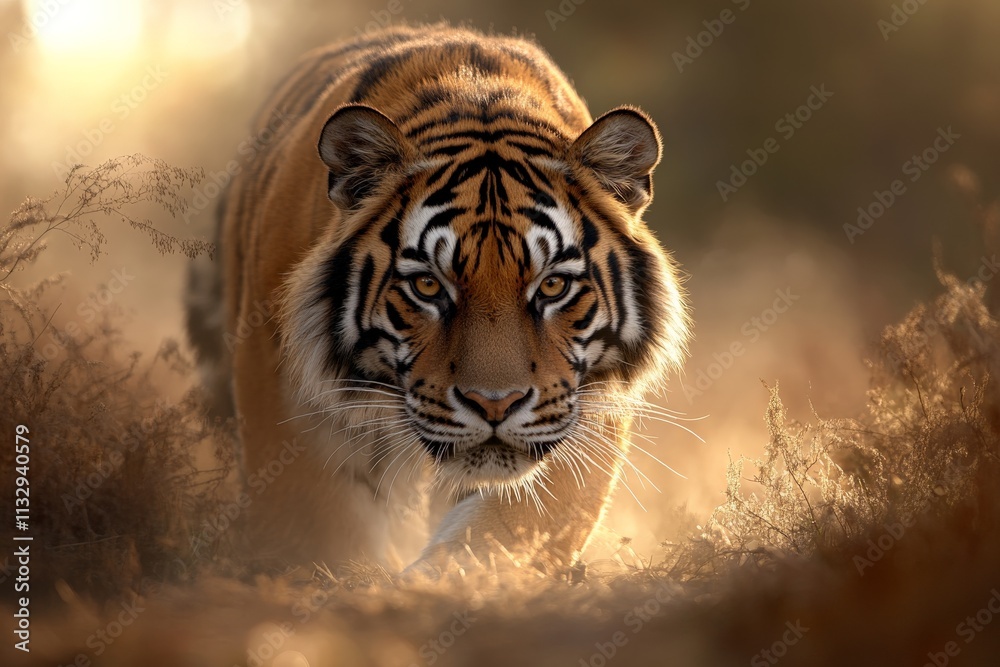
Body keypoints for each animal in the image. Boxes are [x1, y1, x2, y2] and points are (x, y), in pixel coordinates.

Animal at [185, 23, 690, 575]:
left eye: (552, 286)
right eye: (428, 286)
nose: (496, 405)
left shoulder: (586, 405)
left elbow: (507, 531)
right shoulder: (286, 405)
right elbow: (320, 541)